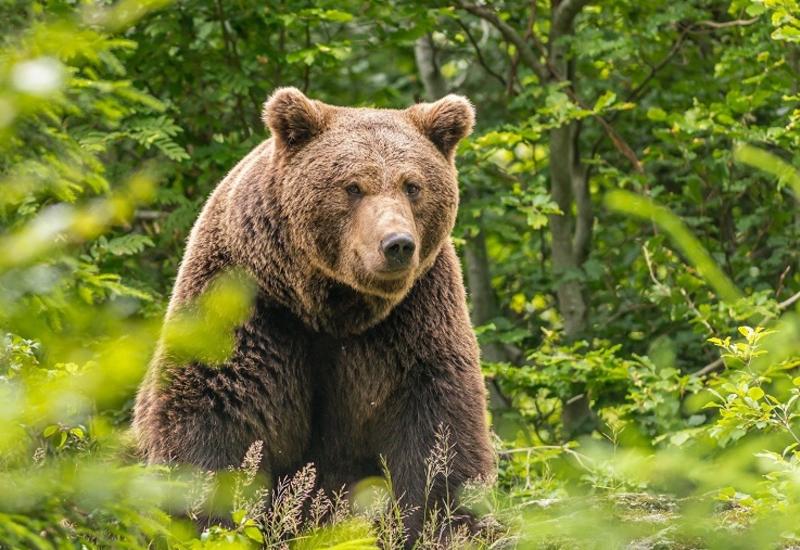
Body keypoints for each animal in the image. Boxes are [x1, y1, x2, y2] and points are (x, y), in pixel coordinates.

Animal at [132, 87, 494, 544]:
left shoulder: (415, 323)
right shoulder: (250, 307)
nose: (397, 244)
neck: (332, 306)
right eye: (353, 186)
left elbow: (438, 438)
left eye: (412, 185)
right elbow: (215, 418)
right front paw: (204, 519)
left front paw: (445, 526)